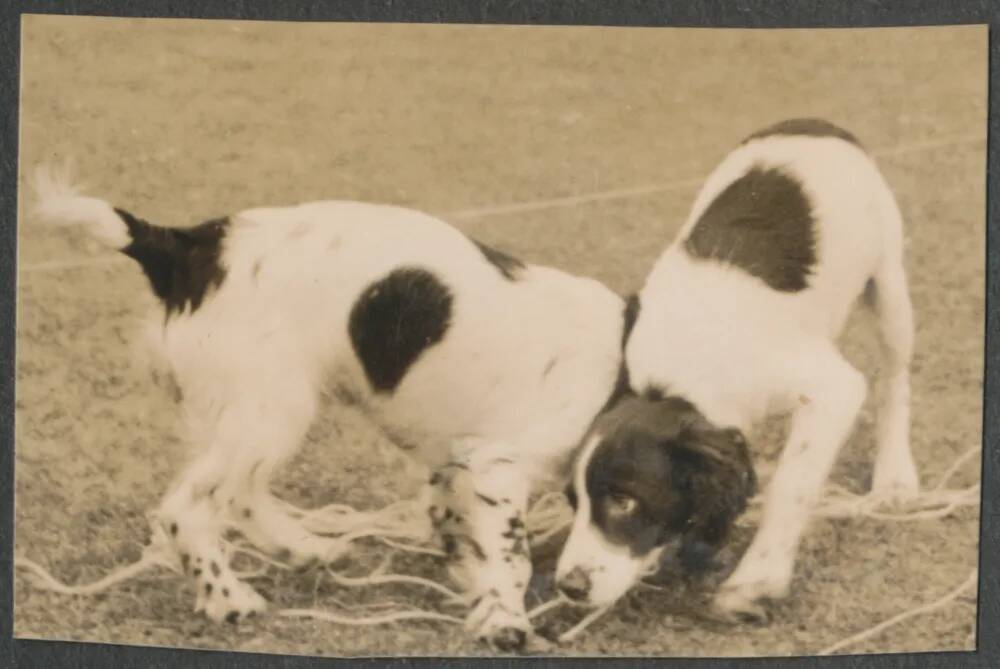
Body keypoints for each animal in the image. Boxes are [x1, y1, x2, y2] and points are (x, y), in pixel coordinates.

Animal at [560, 118, 916, 620]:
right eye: (573, 501)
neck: (678, 376)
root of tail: (813, 122)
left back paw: (896, 476)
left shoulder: (832, 388)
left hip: (888, 283)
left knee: (895, 376)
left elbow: (791, 482)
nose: (567, 587)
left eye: (624, 500)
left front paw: (756, 579)